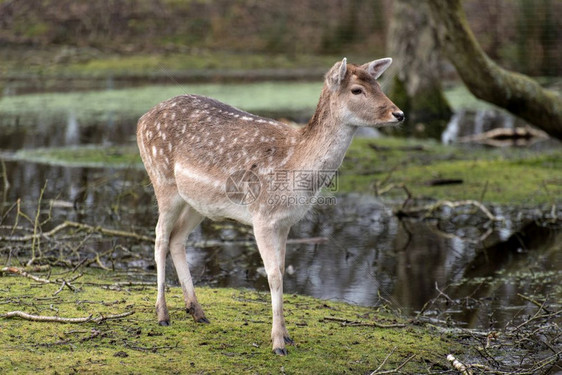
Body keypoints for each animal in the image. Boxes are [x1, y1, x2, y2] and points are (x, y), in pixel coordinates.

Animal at [136, 57, 402, 356]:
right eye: (357, 90)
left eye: (378, 84)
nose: (399, 113)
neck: (296, 169)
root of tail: (141, 120)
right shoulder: (261, 216)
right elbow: (273, 275)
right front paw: (277, 344)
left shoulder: (285, 222)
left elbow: (283, 271)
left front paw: (287, 336)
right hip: (162, 180)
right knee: (160, 237)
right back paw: (163, 315)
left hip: (197, 202)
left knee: (177, 239)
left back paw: (198, 312)